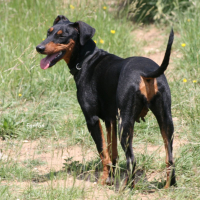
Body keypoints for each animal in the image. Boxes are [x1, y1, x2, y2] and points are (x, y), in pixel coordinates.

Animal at [36, 15, 177, 188]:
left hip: (126, 123)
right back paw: (168, 186)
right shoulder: (110, 119)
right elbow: (112, 151)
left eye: (62, 36)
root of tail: (146, 73)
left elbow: (103, 152)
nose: (39, 47)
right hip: (166, 120)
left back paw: (127, 187)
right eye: (48, 32)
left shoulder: (92, 120)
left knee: (132, 158)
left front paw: (103, 180)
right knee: (169, 158)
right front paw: (110, 176)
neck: (86, 59)